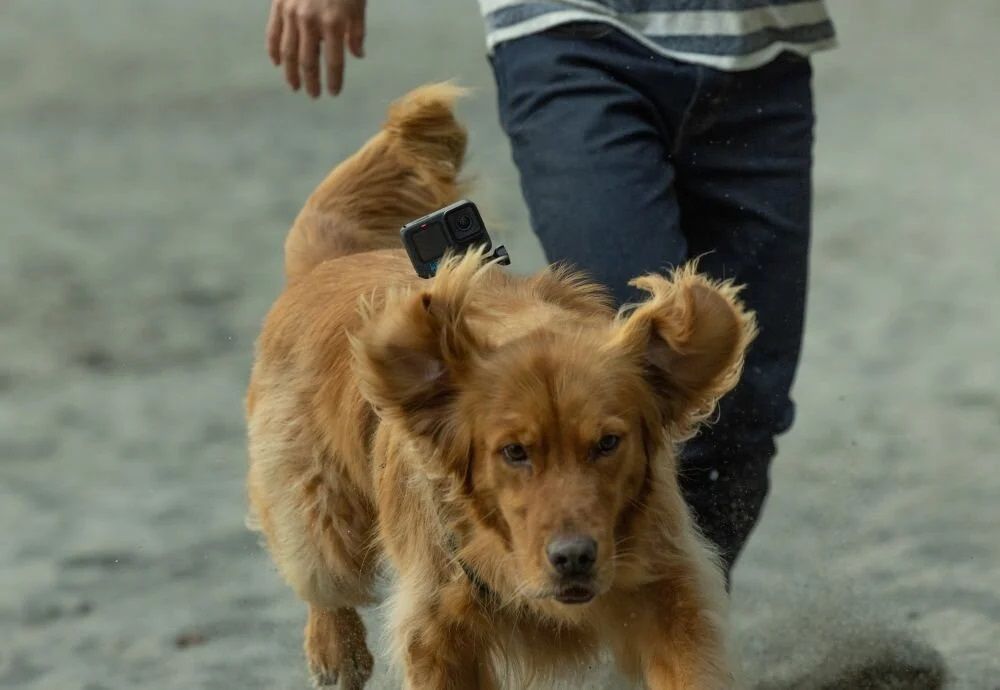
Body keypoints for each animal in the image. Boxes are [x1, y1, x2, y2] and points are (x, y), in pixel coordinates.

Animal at [245, 83, 756, 689]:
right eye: (513, 452)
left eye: (608, 443)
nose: (574, 557)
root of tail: (326, 265)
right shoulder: (437, 629)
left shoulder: (665, 587)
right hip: (322, 513)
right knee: (320, 574)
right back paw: (334, 648)